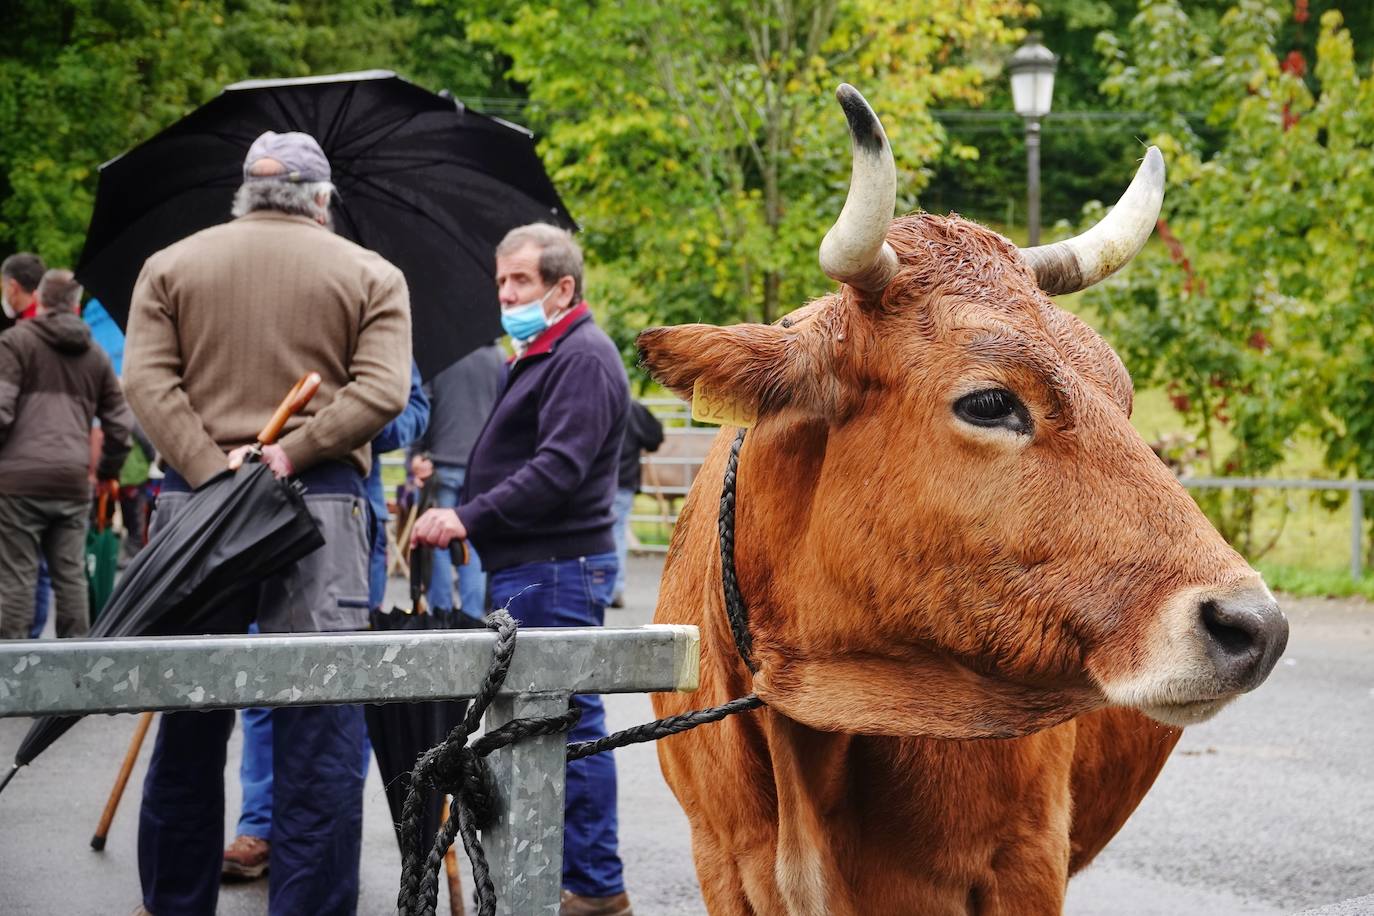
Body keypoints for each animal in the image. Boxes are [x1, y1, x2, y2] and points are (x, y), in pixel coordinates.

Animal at [637, 85, 1280, 916]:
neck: (807, 728)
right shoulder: (717, 862)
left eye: (1123, 391)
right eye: (988, 402)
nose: (1255, 624)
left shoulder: (1026, 859)